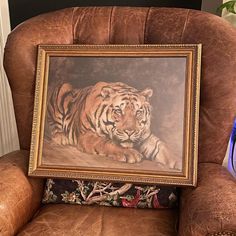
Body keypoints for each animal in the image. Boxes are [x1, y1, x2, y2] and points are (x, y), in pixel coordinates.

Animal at [47, 81, 181, 170]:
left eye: (138, 112)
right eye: (118, 111)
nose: (130, 131)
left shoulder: (146, 137)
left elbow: (164, 149)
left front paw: (180, 162)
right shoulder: (87, 136)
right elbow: (108, 143)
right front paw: (131, 154)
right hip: (63, 89)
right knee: (52, 126)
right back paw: (62, 138)